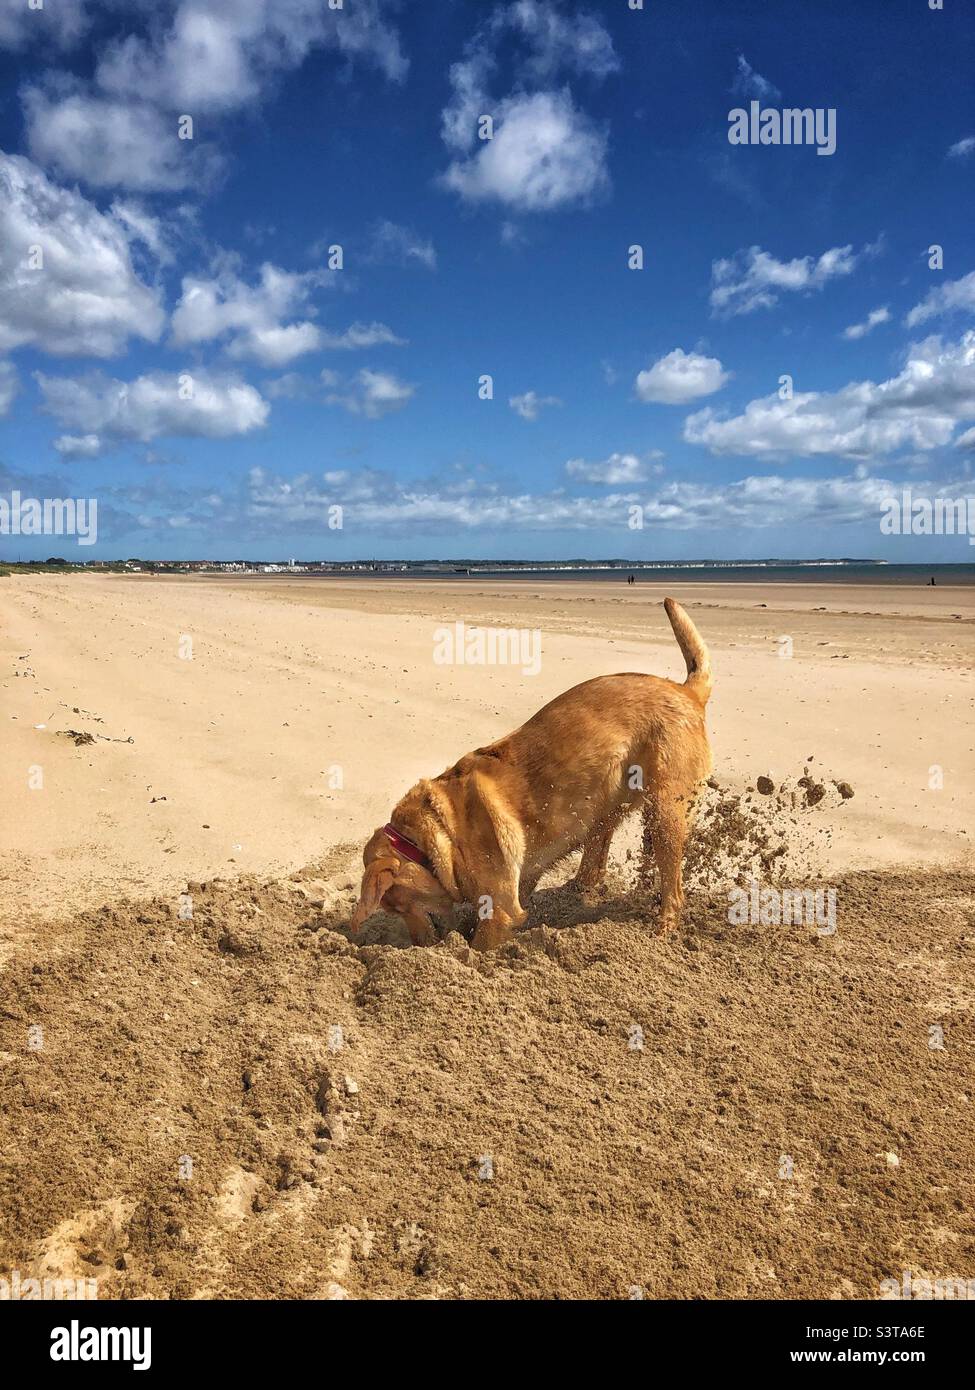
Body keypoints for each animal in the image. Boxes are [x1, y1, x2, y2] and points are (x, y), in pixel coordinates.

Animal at [350, 592, 706, 950]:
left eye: (396, 905)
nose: (417, 944)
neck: (435, 834)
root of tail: (688, 691)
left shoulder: (500, 910)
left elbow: (481, 944)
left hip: (665, 814)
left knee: (673, 890)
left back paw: (661, 930)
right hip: (606, 807)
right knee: (595, 863)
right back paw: (574, 893)